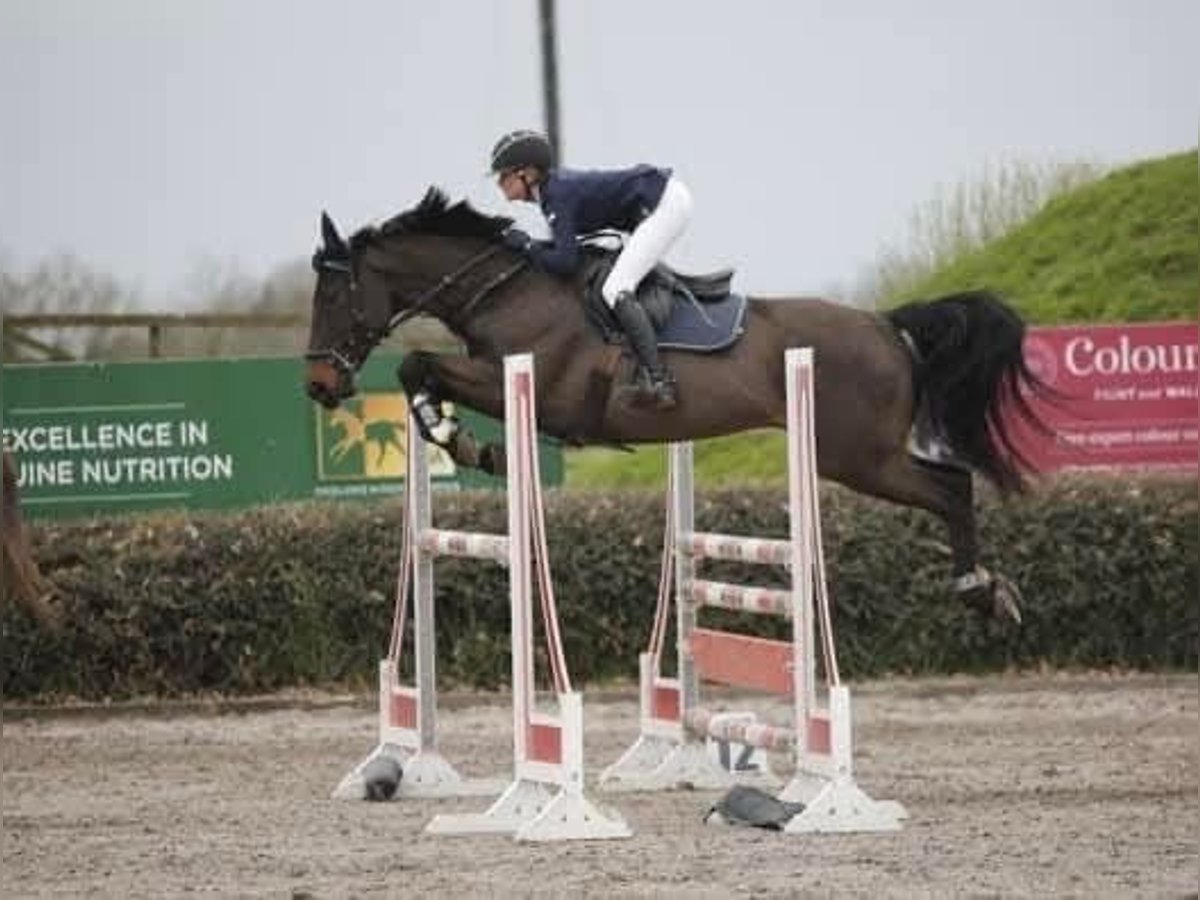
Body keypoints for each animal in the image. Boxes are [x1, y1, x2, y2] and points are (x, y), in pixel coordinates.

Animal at [304, 188, 1046, 628]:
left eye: (334, 297)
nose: (318, 385)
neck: (506, 290)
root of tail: (886, 324)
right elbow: (419, 371)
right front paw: (452, 433)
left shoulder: (531, 388)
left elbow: (419, 365)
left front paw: (458, 438)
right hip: (864, 456)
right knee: (954, 483)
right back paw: (988, 590)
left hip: (858, 457)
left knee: (951, 487)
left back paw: (981, 589)